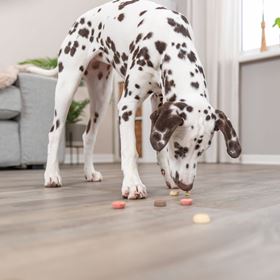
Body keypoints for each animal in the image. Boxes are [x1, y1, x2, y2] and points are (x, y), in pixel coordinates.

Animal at [25, 0, 242, 199]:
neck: (169, 42)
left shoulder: (159, 102)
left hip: (101, 97)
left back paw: (89, 173)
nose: (186, 185)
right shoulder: (127, 106)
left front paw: (169, 178)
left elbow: (160, 149)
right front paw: (133, 184)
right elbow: (130, 150)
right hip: (67, 86)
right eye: (180, 148)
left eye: (202, 150)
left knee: (88, 136)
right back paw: (51, 175)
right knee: (54, 132)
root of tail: (78, 21)